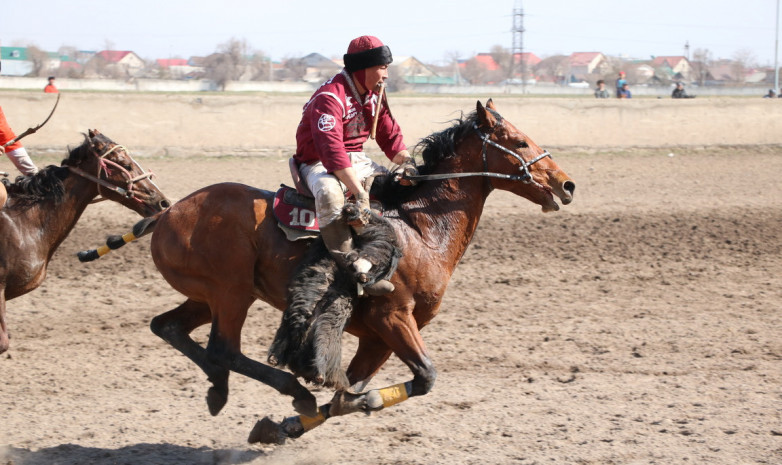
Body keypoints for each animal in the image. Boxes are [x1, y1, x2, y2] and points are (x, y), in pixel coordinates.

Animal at [125, 100, 576, 442]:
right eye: (519, 141)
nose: (566, 184)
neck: (417, 229)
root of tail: (168, 212)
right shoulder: (393, 318)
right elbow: (421, 377)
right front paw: (345, 402)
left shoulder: (378, 337)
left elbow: (351, 390)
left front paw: (282, 427)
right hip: (230, 293)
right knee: (223, 348)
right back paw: (288, 389)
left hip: (209, 297)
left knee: (168, 326)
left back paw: (219, 389)